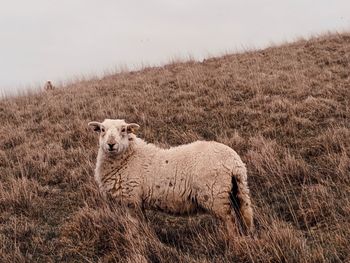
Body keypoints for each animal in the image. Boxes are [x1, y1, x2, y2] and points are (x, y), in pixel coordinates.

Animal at [89, 118, 253, 236]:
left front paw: (135, 239)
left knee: (229, 220)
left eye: (123, 129)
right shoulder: (138, 203)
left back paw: (232, 240)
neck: (130, 157)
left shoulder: (131, 201)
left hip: (216, 196)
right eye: (102, 130)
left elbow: (134, 226)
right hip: (236, 190)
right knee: (241, 214)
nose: (111, 144)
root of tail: (234, 162)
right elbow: (143, 223)